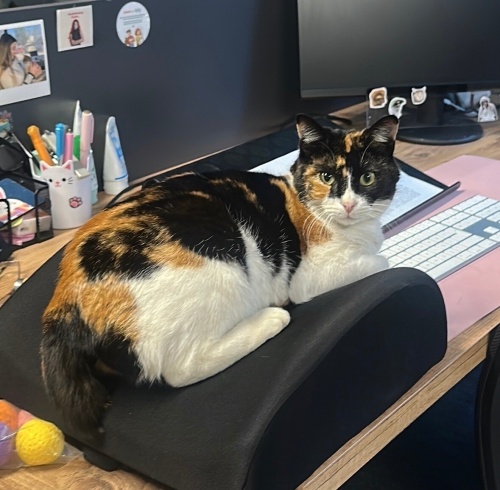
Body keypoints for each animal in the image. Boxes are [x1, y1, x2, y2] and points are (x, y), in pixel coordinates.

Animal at [40, 114, 400, 435]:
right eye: (326, 177)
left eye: (367, 178)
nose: (349, 205)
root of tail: (64, 301)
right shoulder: (308, 277)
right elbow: (382, 261)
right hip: (222, 261)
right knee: (181, 369)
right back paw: (271, 318)